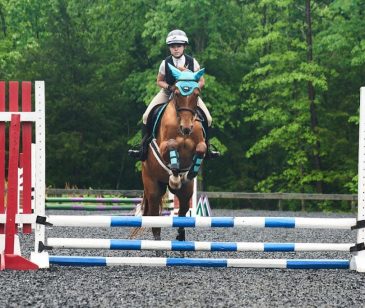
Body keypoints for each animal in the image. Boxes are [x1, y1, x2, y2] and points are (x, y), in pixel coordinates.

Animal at [141, 63, 206, 242]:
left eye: (197, 94)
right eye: (176, 93)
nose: (186, 128)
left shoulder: (199, 144)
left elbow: (201, 149)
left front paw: (191, 172)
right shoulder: (162, 146)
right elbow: (171, 145)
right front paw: (175, 176)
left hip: (186, 192)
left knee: (182, 213)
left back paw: (180, 238)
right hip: (152, 186)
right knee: (154, 217)